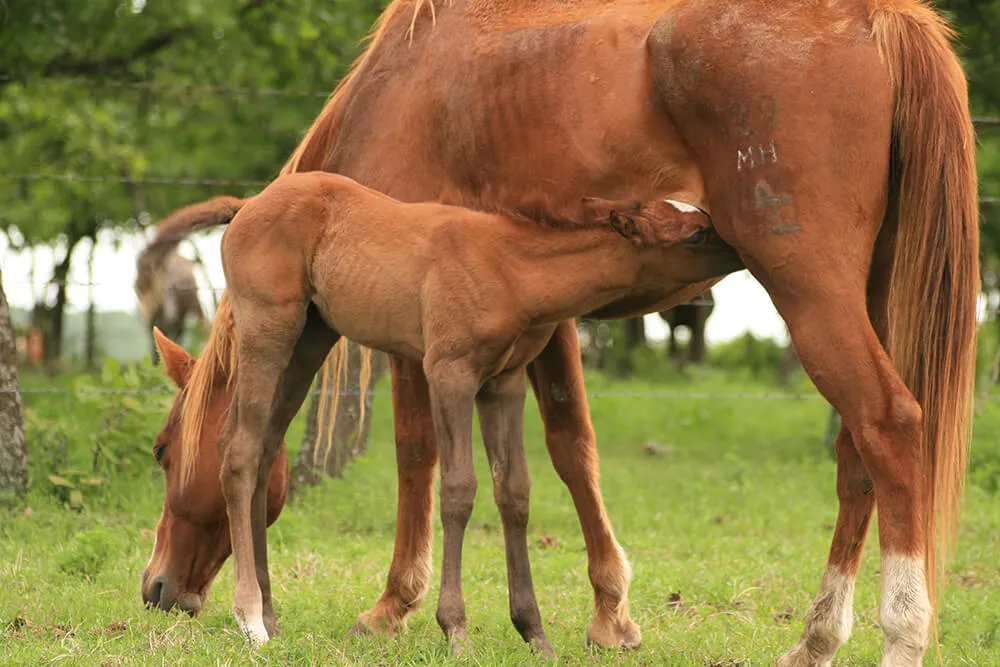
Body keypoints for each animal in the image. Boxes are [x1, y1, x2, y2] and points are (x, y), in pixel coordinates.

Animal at [142, 1, 978, 663]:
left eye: (162, 450)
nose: (157, 589)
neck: (402, 89)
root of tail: (879, 18)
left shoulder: (426, 333)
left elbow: (421, 453)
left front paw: (394, 605)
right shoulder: (540, 323)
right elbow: (570, 447)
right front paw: (610, 614)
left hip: (811, 291)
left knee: (888, 422)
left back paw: (899, 635)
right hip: (864, 295)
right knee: (855, 453)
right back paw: (816, 639)